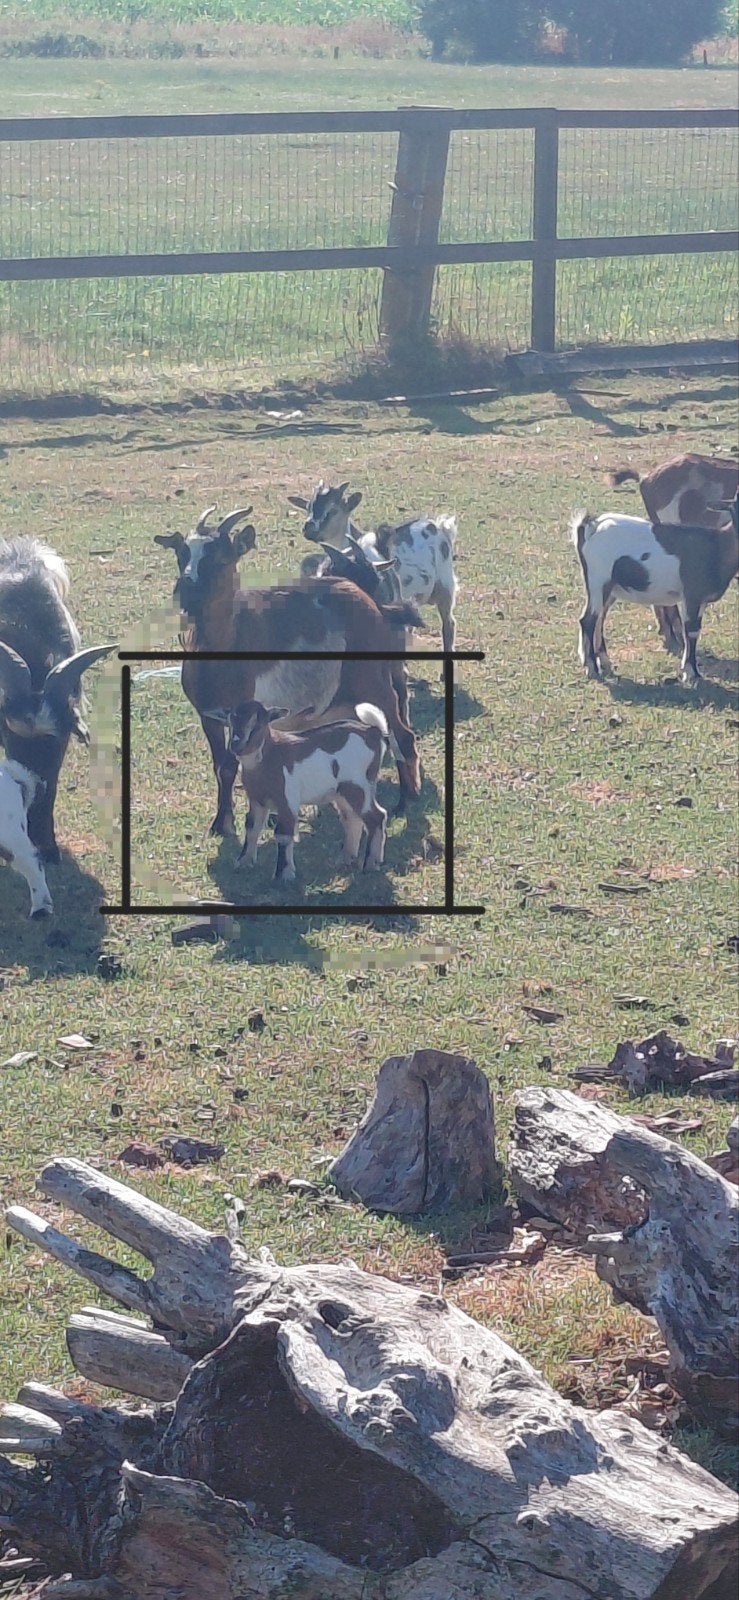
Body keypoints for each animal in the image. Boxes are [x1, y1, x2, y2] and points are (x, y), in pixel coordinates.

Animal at [154, 505, 421, 835]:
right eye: (181, 554)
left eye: (221, 557)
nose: (187, 589)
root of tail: (372, 603)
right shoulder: (209, 716)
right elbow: (222, 767)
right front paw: (222, 821)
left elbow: (233, 763)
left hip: (374, 684)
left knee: (402, 735)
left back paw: (406, 801)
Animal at [216, 699, 389, 880]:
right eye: (230, 722)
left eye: (257, 725)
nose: (236, 746)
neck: (269, 755)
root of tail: (374, 731)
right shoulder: (257, 799)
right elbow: (252, 826)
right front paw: (244, 862)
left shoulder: (287, 799)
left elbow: (283, 833)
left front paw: (284, 873)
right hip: (342, 792)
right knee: (352, 818)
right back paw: (346, 858)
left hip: (359, 785)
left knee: (376, 816)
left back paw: (371, 864)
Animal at [288, 481, 459, 668]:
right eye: (308, 507)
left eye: (333, 510)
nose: (308, 529)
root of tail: (439, 525)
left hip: (445, 587)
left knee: (448, 624)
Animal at [572, 491, 739, 685]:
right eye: (734, 509)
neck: (716, 548)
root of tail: (592, 525)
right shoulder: (691, 594)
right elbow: (691, 630)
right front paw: (691, 673)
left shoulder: (700, 599)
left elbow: (694, 630)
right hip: (598, 580)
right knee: (588, 620)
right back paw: (592, 668)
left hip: (610, 588)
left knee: (599, 619)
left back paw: (603, 661)